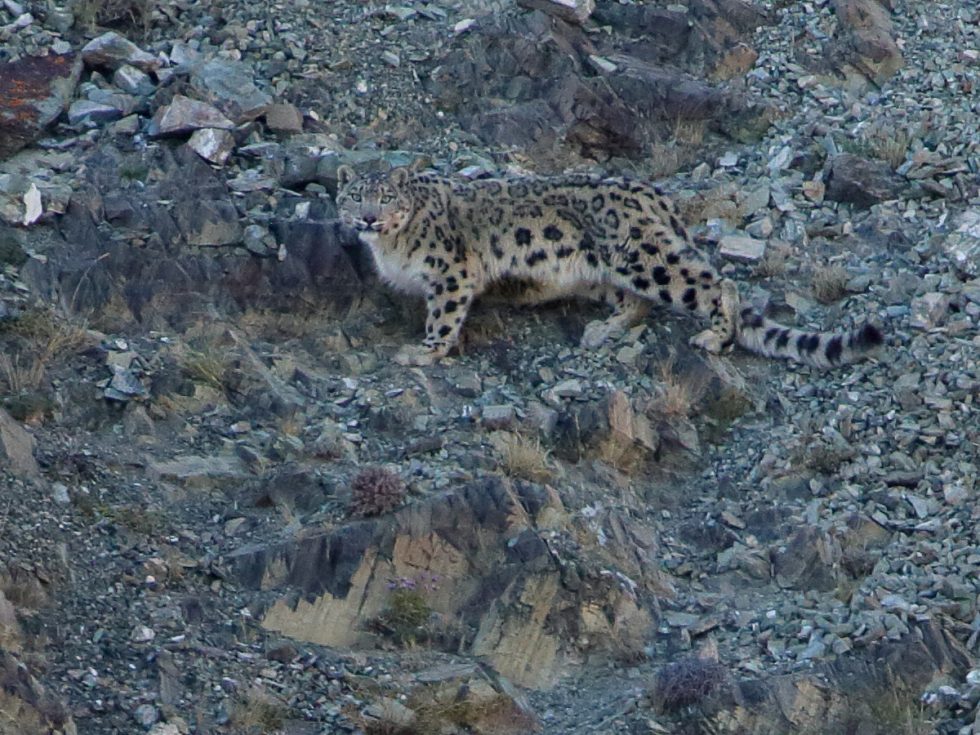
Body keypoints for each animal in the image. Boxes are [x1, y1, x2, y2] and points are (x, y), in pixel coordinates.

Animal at [335, 165, 883, 368]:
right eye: (354, 195)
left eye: (385, 197)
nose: (367, 217)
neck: (390, 246)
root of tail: (653, 195)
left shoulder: (451, 273)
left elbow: (444, 315)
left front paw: (424, 350)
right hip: (600, 272)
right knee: (636, 302)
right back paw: (604, 329)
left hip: (642, 258)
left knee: (713, 283)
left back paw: (715, 335)